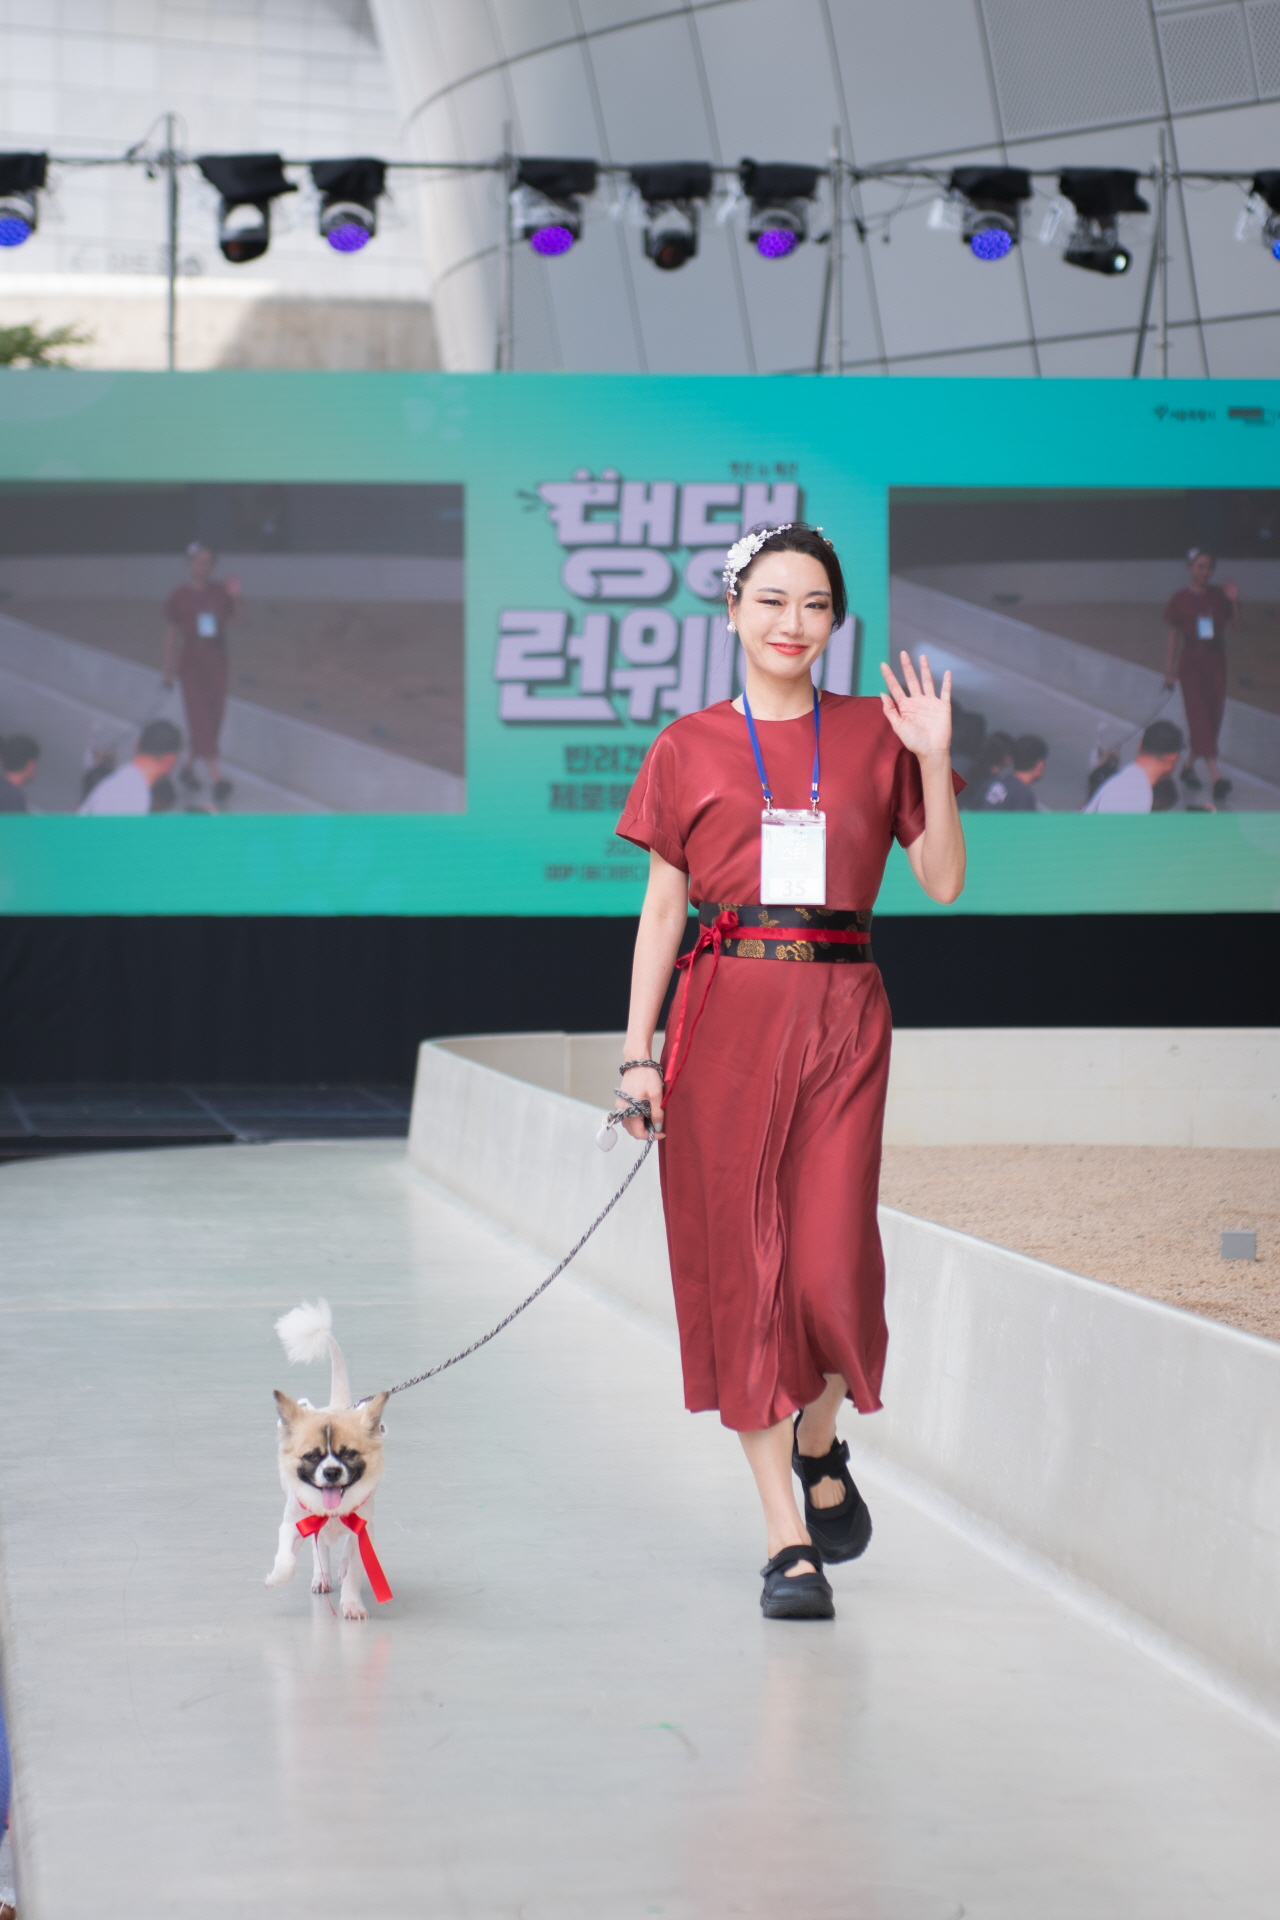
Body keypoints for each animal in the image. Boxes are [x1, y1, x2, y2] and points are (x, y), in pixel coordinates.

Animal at [265, 1300, 390, 1620]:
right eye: (312, 1456)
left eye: (349, 1454)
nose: (332, 1472)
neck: (333, 1513)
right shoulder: (293, 1524)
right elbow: (287, 1558)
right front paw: (277, 1577)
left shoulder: (363, 1529)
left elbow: (356, 1568)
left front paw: (351, 1603)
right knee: (319, 1547)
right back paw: (321, 1577)